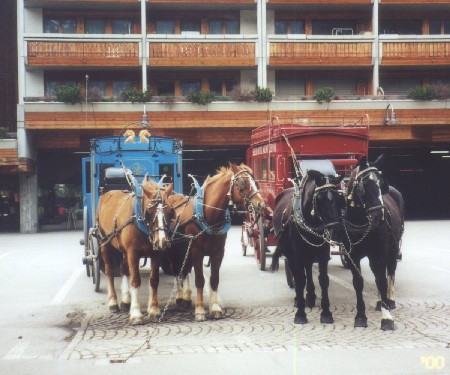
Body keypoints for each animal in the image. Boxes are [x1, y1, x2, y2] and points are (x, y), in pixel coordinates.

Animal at [96, 176, 174, 326]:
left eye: (169, 212)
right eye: (149, 212)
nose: (162, 241)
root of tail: (107, 194)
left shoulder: (156, 253)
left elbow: (154, 280)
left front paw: (154, 310)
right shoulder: (133, 253)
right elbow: (135, 281)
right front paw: (136, 313)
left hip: (123, 250)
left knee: (123, 268)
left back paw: (126, 300)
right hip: (104, 243)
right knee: (109, 271)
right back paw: (113, 302)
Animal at [167, 163, 266, 322]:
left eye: (254, 181)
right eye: (242, 183)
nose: (261, 204)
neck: (208, 216)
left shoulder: (218, 252)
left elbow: (214, 279)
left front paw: (215, 308)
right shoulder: (197, 252)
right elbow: (200, 280)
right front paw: (200, 311)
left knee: (185, 270)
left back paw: (187, 298)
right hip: (173, 250)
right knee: (176, 271)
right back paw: (180, 297)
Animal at [270, 169, 344, 324]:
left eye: (339, 199)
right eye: (320, 199)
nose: (337, 230)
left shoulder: (322, 252)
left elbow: (323, 279)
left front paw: (326, 313)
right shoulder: (297, 253)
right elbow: (299, 279)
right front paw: (300, 314)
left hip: (309, 251)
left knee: (308, 269)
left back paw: (310, 296)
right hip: (291, 252)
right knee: (297, 273)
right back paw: (299, 299)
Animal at [344, 156, 404, 332]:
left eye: (381, 184)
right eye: (364, 185)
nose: (379, 216)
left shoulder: (378, 254)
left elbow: (381, 280)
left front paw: (387, 318)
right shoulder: (352, 256)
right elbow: (358, 283)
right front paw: (360, 316)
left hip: (391, 249)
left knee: (390, 271)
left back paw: (389, 300)